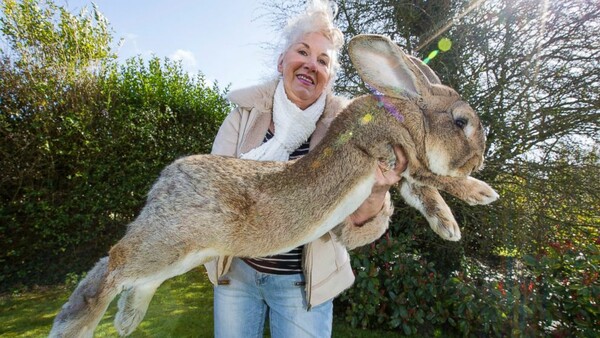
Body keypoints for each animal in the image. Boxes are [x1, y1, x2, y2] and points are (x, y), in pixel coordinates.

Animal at [49, 35, 496, 336]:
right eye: (461, 121)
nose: (481, 159)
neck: (406, 113)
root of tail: (164, 183)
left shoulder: (402, 173)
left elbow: (425, 194)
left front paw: (448, 227)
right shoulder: (396, 153)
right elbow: (436, 178)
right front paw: (481, 193)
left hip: (182, 253)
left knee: (131, 277)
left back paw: (126, 320)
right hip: (170, 241)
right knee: (114, 265)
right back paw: (79, 325)